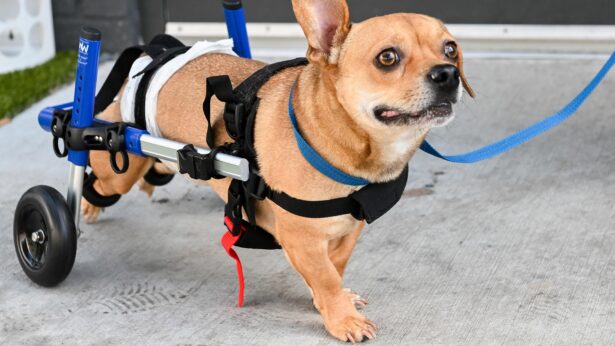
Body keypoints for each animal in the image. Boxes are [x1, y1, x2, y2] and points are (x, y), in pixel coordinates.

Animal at [83, 0, 472, 340]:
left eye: (451, 49)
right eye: (387, 57)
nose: (448, 73)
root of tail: (159, 55)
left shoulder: (349, 229)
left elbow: (335, 266)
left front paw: (329, 303)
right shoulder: (301, 239)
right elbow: (325, 276)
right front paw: (342, 318)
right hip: (118, 167)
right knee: (96, 167)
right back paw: (88, 199)